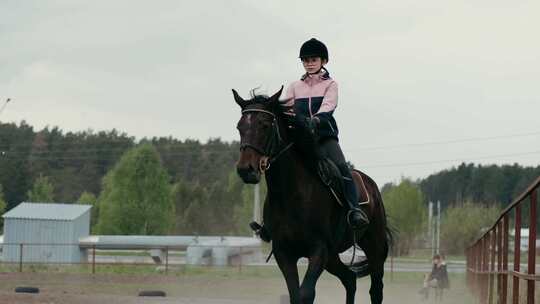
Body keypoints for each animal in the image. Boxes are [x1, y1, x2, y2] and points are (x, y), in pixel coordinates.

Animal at [234, 86, 390, 302]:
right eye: (239, 127)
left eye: (264, 125)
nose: (245, 170)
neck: (290, 195)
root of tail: (372, 186)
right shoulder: (284, 253)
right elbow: (295, 294)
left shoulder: (319, 250)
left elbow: (306, 293)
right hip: (333, 257)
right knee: (349, 278)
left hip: (374, 248)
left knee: (376, 290)